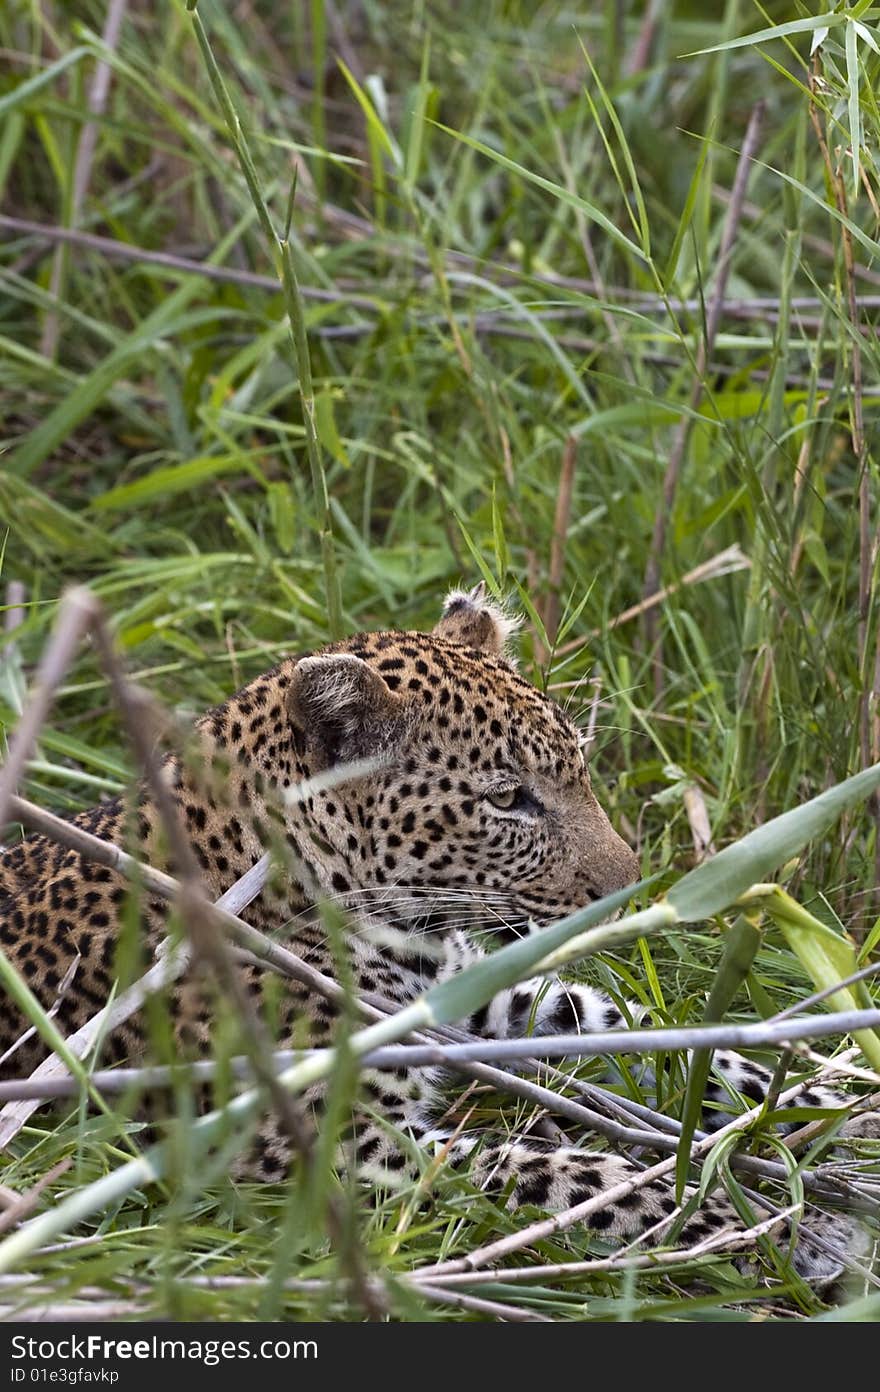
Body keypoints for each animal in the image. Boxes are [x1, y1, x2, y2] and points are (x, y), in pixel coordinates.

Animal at [0, 581, 868, 1286]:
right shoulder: (335, 1149)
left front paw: (843, 1112)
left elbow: (655, 1038)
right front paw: (777, 1230)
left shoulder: (471, 1001)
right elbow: (571, 1177)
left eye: (580, 769)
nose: (632, 888)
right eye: (508, 800)